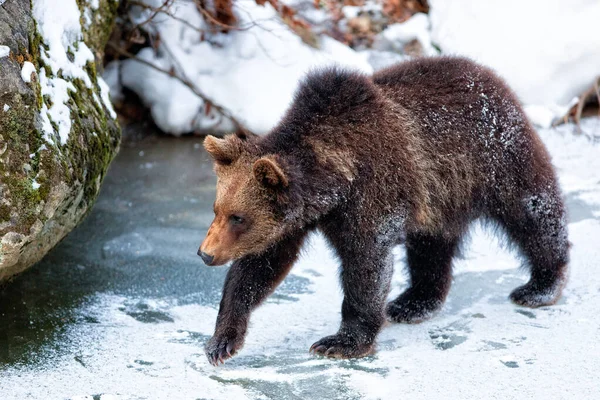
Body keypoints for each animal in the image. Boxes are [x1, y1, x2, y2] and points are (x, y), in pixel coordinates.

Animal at [199, 55, 568, 366]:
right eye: (217, 209)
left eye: (238, 217)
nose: (205, 253)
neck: (334, 183)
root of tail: (489, 74)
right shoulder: (295, 219)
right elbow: (259, 268)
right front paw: (221, 341)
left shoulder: (371, 193)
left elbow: (367, 265)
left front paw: (339, 341)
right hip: (441, 195)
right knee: (430, 246)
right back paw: (412, 302)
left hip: (497, 157)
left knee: (532, 213)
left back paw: (540, 285)